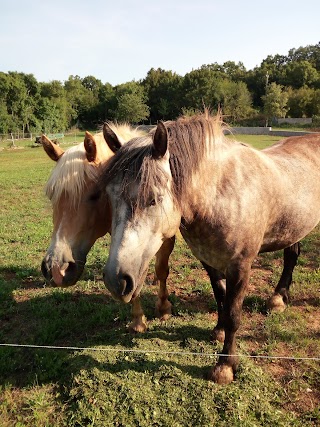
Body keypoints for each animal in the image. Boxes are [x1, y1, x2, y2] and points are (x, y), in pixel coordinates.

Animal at [41, 127, 175, 334]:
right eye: (51, 196)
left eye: (95, 195)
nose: (55, 269)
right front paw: (138, 319)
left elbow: (161, 270)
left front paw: (163, 307)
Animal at [100, 113, 320, 384]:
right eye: (110, 197)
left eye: (153, 199)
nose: (116, 280)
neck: (221, 195)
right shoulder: (209, 260)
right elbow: (221, 297)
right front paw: (218, 330)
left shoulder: (240, 266)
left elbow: (235, 313)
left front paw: (225, 366)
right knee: (291, 254)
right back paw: (278, 299)